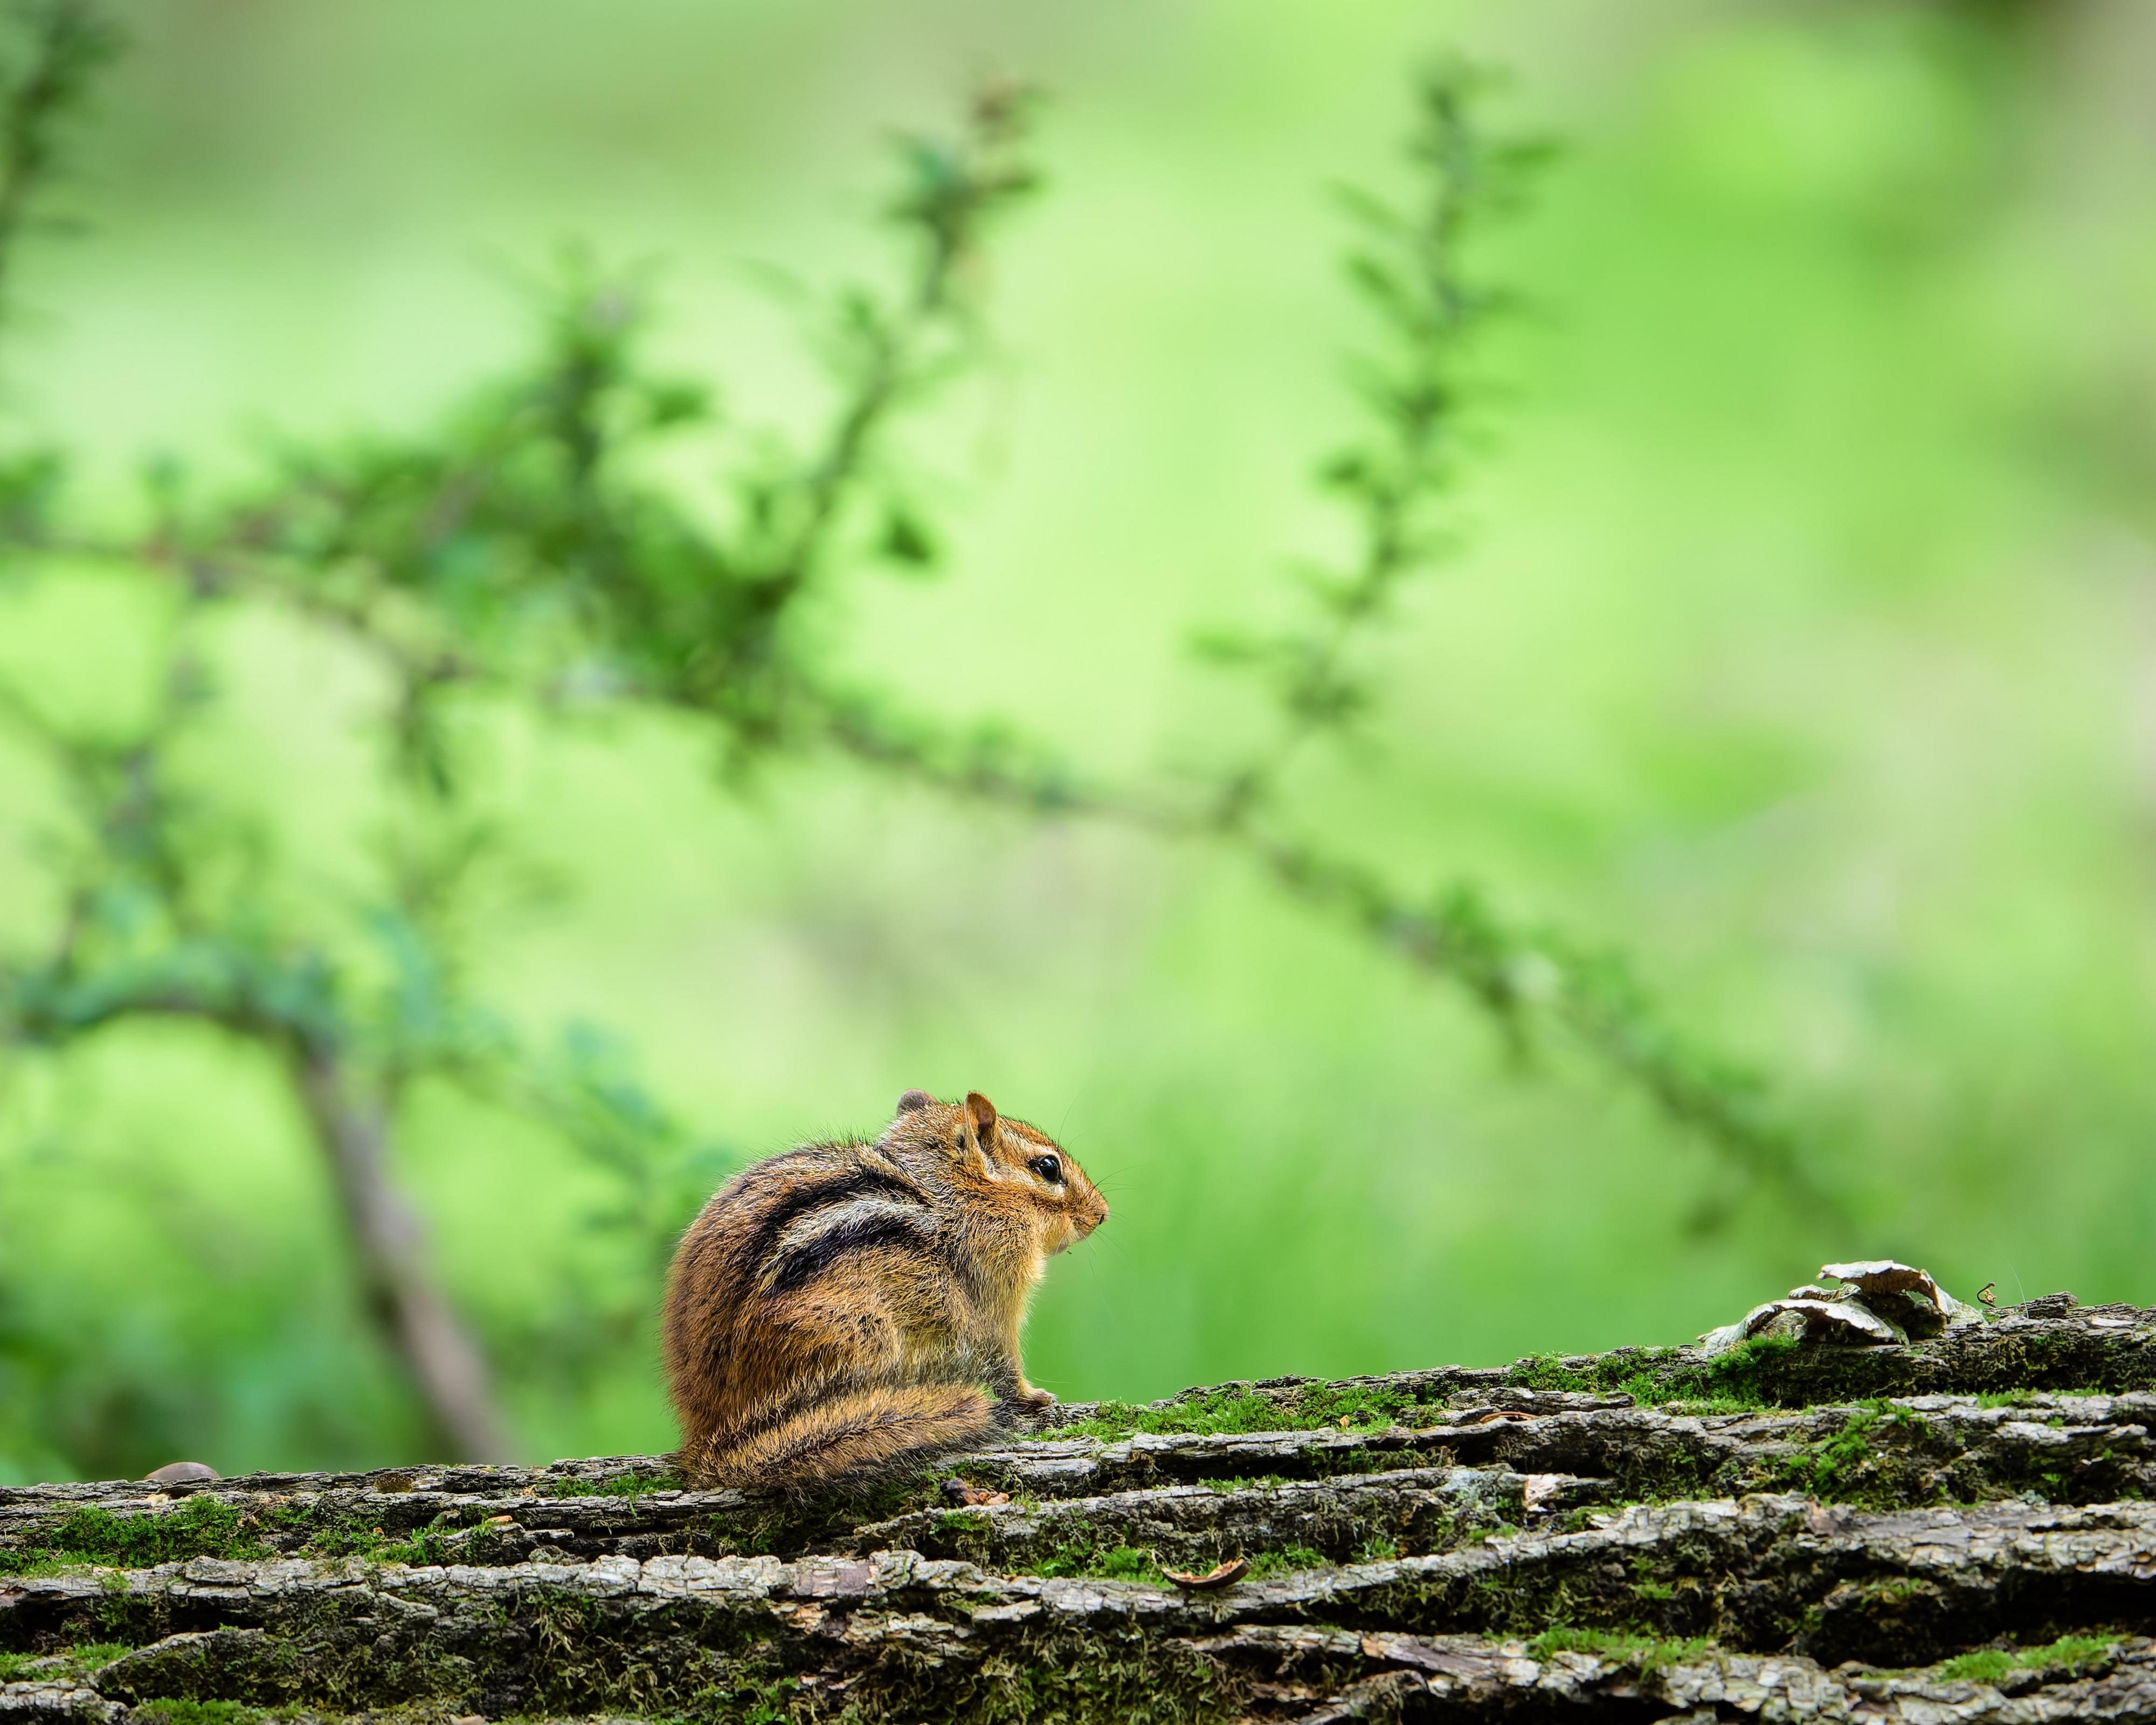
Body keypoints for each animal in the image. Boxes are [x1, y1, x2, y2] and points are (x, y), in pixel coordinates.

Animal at [662, 1089, 1108, 1493]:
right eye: (1048, 1167)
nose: (1101, 1214)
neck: (960, 1193)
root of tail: (712, 1443)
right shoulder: (997, 1292)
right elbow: (1004, 1362)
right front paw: (1034, 1398)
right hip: (857, 1336)